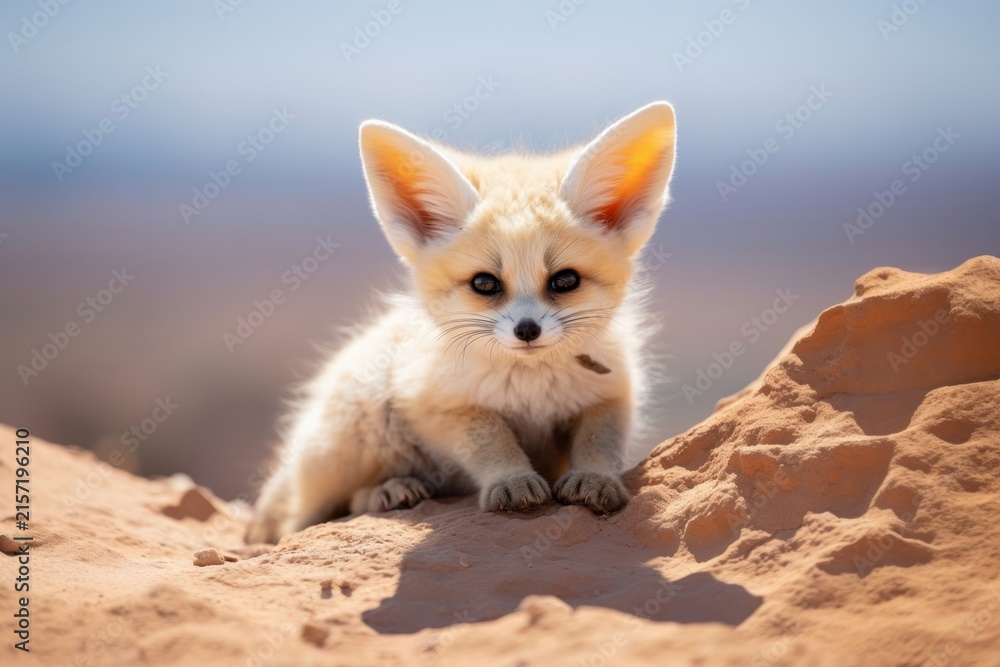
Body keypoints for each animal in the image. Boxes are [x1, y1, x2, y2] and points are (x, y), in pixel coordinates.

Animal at [246, 101, 677, 544]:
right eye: (484, 283)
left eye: (565, 280)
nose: (527, 330)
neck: (532, 391)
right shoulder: (438, 404)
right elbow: (491, 439)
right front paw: (512, 481)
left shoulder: (611, 395)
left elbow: (599, 442)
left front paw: (595, 479)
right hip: (365, 417)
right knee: (314, 515)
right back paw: (390, 490)